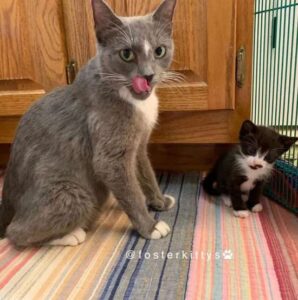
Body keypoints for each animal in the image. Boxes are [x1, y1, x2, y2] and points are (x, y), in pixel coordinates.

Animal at [0, 0, 178, 248]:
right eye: (126, 54)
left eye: (159, 50)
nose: (148, 75)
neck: (135, 100)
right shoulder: (111, 153)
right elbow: (131, 193)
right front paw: (150, 227)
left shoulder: (139, 145)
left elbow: (146, 173)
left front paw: (159, 201)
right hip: (74, 194)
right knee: (16, 233)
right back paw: (70, 234)